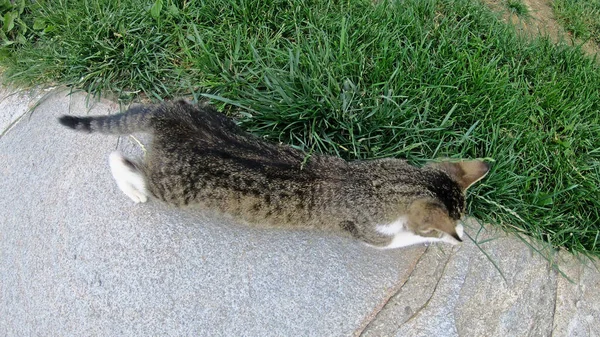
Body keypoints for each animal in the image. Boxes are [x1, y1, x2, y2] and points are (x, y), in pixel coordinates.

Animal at [58, 99, 490, 247]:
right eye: (441, 225)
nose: (460, 231)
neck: (379, 183)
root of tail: (170, 115)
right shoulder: (369, 233)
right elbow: (401, 239)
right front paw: (449, 239)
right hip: (172, 188)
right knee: (119, 158)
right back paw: (132, 187)